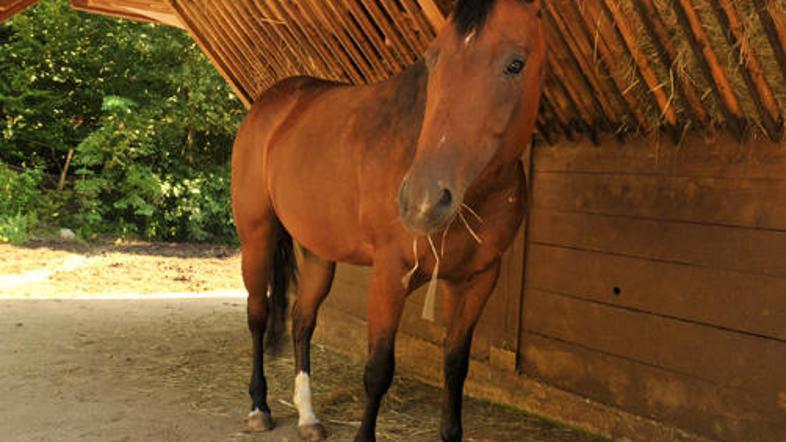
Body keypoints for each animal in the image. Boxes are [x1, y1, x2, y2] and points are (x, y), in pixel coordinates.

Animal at [230, 0, 544, 438]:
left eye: (516, 64)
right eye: (434, 59)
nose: (423, 201)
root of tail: (271, 102)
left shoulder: (476, 280)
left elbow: (455, 365)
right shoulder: (389, 275)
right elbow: (378, 370)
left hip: (318, 252)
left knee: (302, 320)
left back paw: (308, 416)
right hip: (256, 237)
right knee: (258, 316)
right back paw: (259, 406)